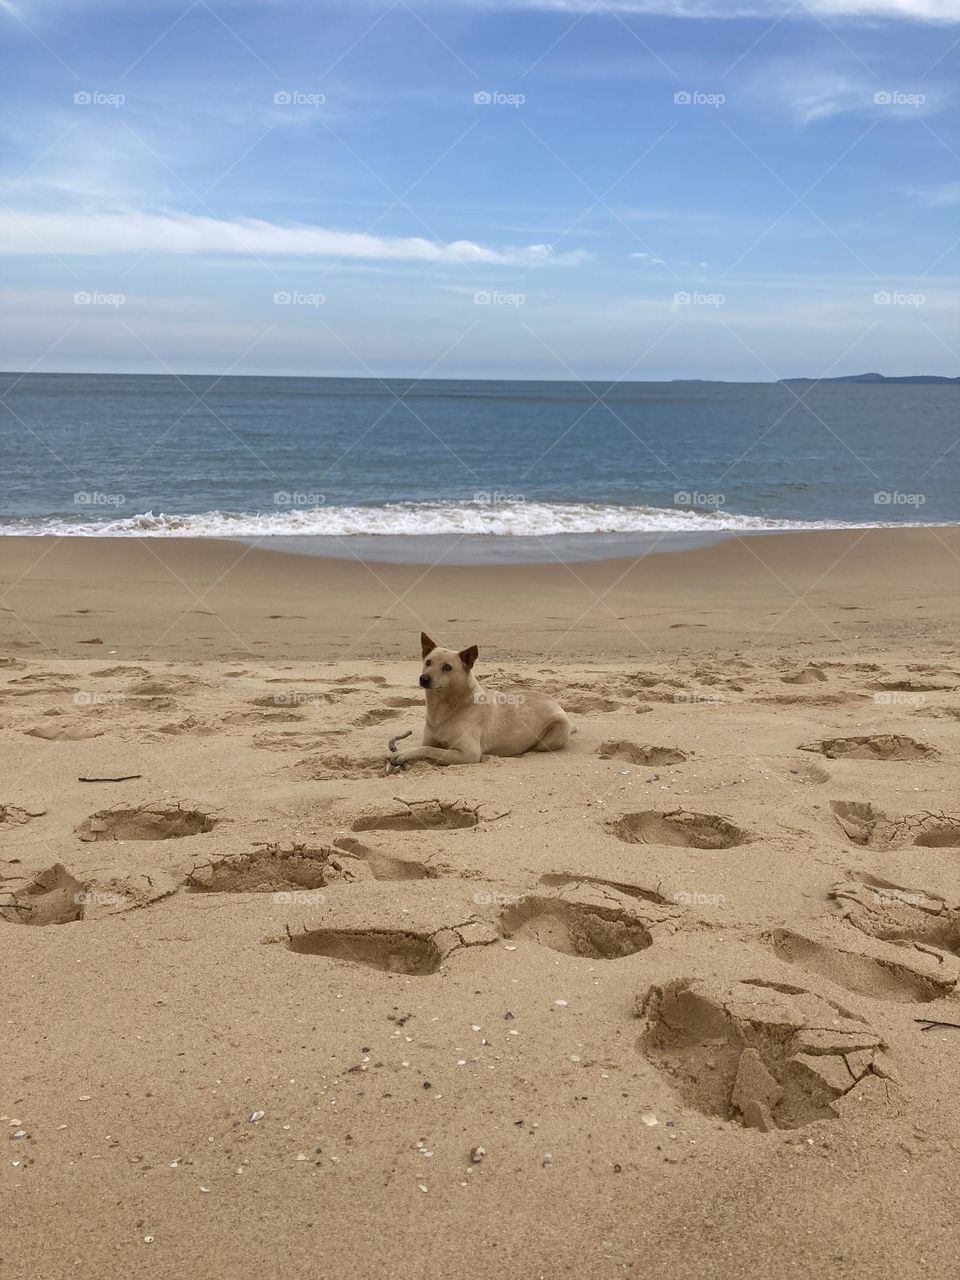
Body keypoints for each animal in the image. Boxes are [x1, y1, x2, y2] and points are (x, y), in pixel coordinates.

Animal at [386, 632, 570, 768]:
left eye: (447, 667)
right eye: (428, 662)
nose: (423, 678)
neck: (445, 707)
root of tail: (554, 701)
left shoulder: (468, 754)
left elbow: (430, 750)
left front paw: (403, 753)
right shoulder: (429, 739)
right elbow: (425, 745)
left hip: (553, 733)